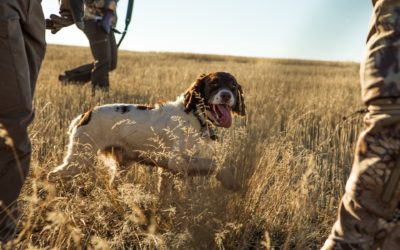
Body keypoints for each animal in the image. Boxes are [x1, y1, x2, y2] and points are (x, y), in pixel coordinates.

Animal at [48, 72, 245, 189]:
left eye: (233, 85)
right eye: (214, 84)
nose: (226, 95)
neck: (196, 116)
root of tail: (84, 115)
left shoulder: (167, 169)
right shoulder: (177, 161)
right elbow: (215, 163)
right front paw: (230, 181)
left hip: (120, 164)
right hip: (79, 159)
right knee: (52, 175)